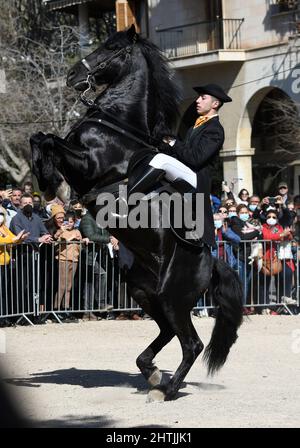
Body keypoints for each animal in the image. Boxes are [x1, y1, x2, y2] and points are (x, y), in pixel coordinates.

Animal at [30, 25, 243, 402]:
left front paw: (55, 185)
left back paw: (166, 389)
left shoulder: (89, 166)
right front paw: (49, 182)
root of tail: (212, 262)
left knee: (191, 343)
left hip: (173, 298)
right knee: (168, 335)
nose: (72, 75)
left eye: (110, 48)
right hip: (145, 293)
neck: (117, 123)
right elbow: (39, 137)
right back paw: (153, 374)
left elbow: (49, 140)